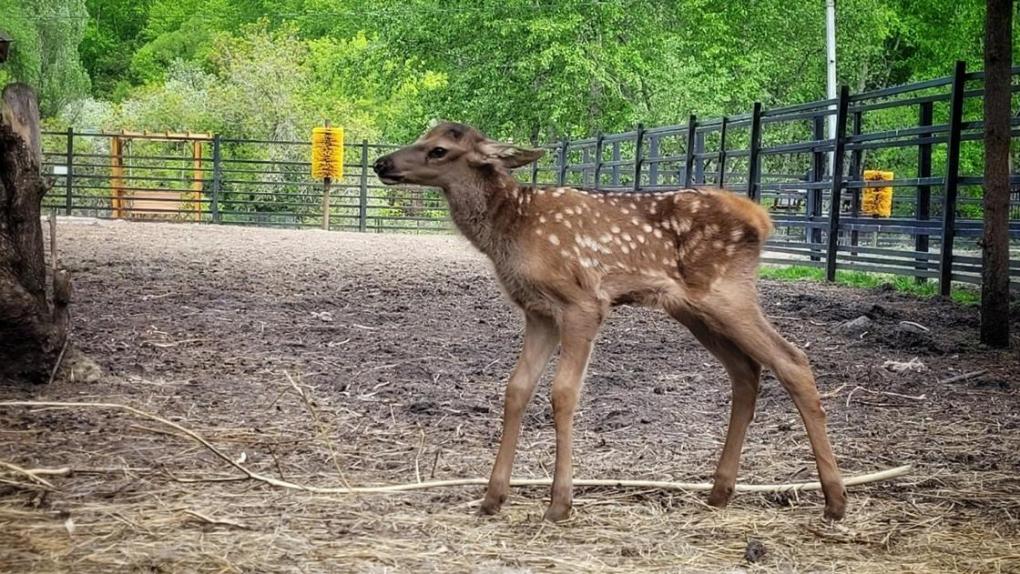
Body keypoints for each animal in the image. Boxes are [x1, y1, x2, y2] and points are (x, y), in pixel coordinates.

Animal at [375, 123, 844, 522]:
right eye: (423, 135)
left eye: (439, 149)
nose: (382, 163)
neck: (512, 231)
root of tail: (761, 219)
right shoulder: (538, 313)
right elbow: (516, 390)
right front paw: (492, 497)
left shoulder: (583, 302)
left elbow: (563, 393)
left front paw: (559, 502)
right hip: (692, 309)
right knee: (746, 370)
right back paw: (720, 491)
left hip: (728, 294)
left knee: (792, 360)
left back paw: (835, 500)